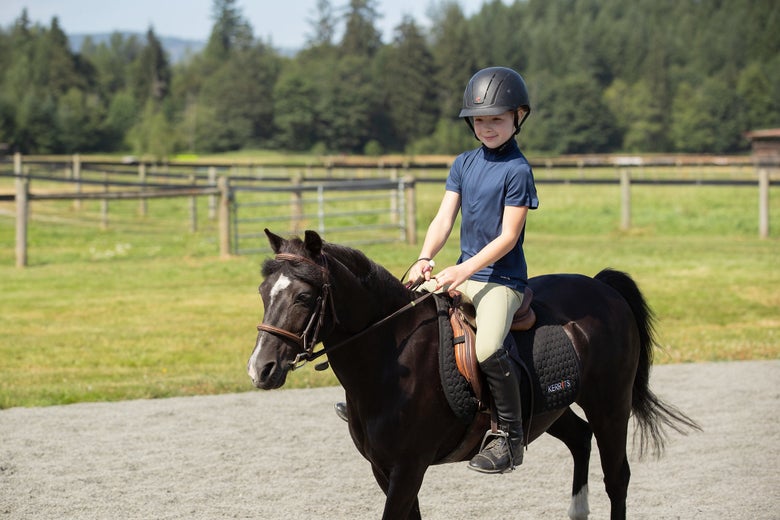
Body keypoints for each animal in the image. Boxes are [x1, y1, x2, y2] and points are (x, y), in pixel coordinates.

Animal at [247, 229, 699, 520]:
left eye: (304, 297)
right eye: (264, 292)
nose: (259, 369)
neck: (390, 357)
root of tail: (601, 285)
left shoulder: (409, 466)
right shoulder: (385, 468)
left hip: (610, 404)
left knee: (617, 476)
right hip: (545, 409)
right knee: (578, 438)